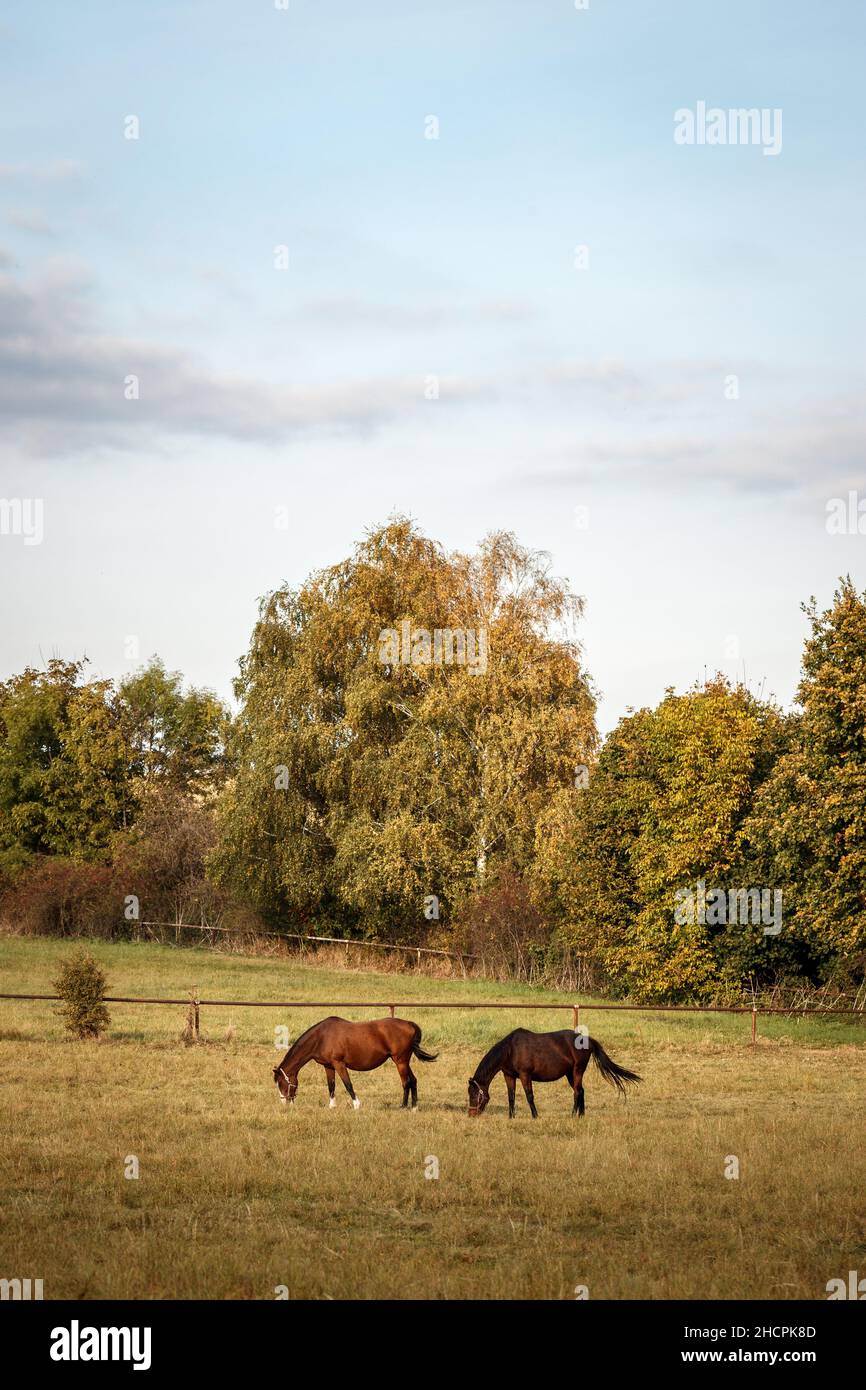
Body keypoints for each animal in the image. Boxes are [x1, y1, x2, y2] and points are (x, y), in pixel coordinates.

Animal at [273, 1015, 437, 1110]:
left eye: (281, 1083)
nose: (285, 1103)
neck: (322, 1037)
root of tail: (409, 1024)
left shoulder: (339, 1064)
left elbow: (348, 1084)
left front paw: (356, 1105)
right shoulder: (328, 1066)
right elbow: (331, 1086)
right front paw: (332, 1106)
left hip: (400, 1061)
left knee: (406, 1082)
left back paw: (403, 1106)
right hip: (404, 1061)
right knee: (413, 1080)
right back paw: (414, 1107)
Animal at [467, 1028, 641, 1117]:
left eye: (475, 1094)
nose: (471, 1114)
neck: (511, 1050)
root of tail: (588, 1040)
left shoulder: (525, 1075)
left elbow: (529, 1096)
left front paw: (535, 1116)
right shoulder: (509, 1076)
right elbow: (511, 1097)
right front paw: (511, 1117)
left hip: (577, 1071)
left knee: (577, 1092)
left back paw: (572, 1114)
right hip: (570, 1074)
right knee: (581, 1091)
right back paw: (581, 1115)